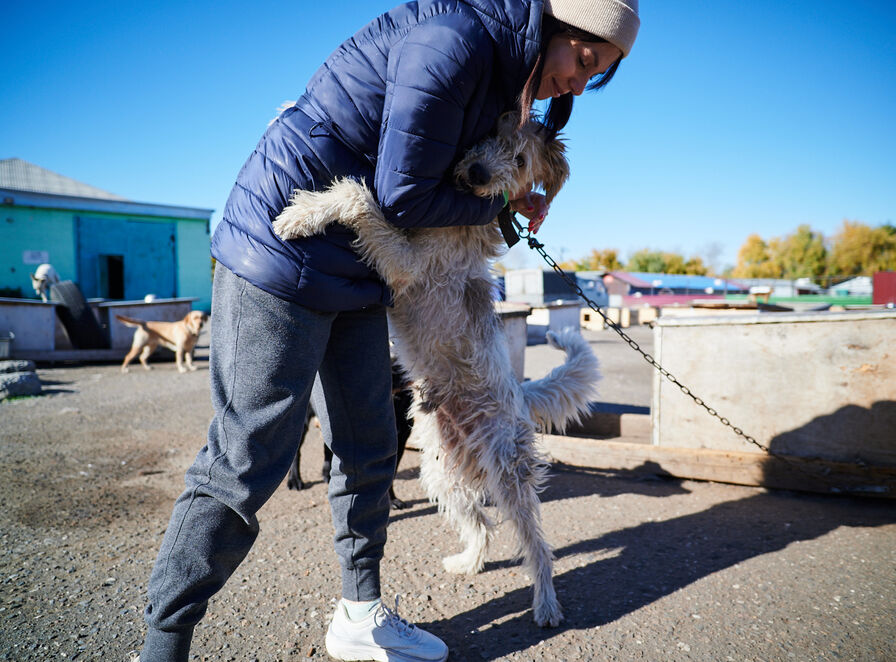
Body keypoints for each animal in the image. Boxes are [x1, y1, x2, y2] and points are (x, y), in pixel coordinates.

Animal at [272, 114, 596, 628]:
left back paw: (546, 605)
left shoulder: (404, 264)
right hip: (444, 475)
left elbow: (357, 195)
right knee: (481, 525)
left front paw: (297, 217)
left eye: (521, 159)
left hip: (509, 475)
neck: (460, 212)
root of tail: (521, 394)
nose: (479, 172)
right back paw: (468, 563)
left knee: (537, 546)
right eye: (493, 133)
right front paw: (303, 209)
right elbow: (352, 191)